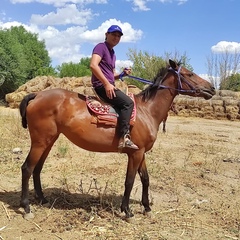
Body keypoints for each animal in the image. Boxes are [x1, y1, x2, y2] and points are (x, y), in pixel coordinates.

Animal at [18, 59, 216, 219]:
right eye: (189, 74)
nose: (212, 88)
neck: (146, 111)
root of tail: (37, 95)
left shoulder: (141, 153)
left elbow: (145, 179)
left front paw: (147, 208)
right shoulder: (135, 154)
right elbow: (129, 181)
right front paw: (127, 211)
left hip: (49, 141)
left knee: (37, 169)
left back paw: (42, 199)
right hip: (40, 142)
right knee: (27, 168)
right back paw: (26, 208)